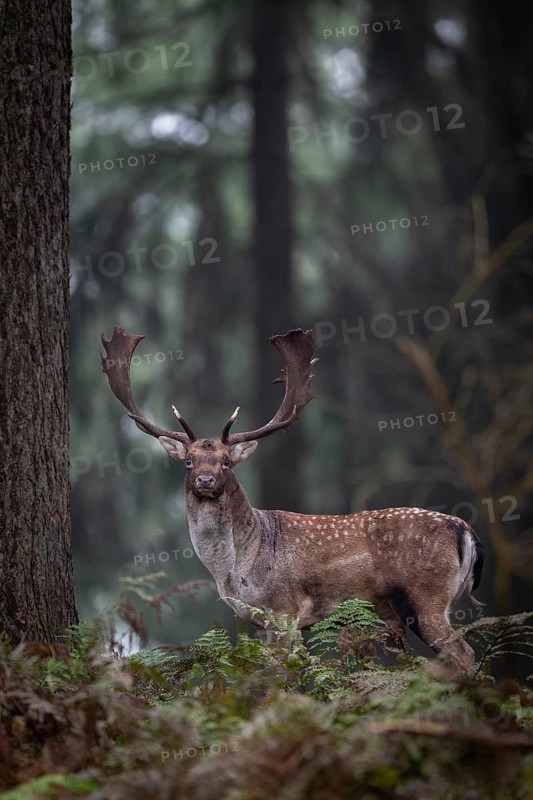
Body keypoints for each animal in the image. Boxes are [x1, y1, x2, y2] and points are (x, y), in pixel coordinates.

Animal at [101, 325, 484, 670]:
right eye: (188, 461)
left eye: (226, 461)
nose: (205, 480)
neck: (232, 570)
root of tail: (465, 529)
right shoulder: (257, 622)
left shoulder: (283, 609)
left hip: (426, 596)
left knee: (464, 653)